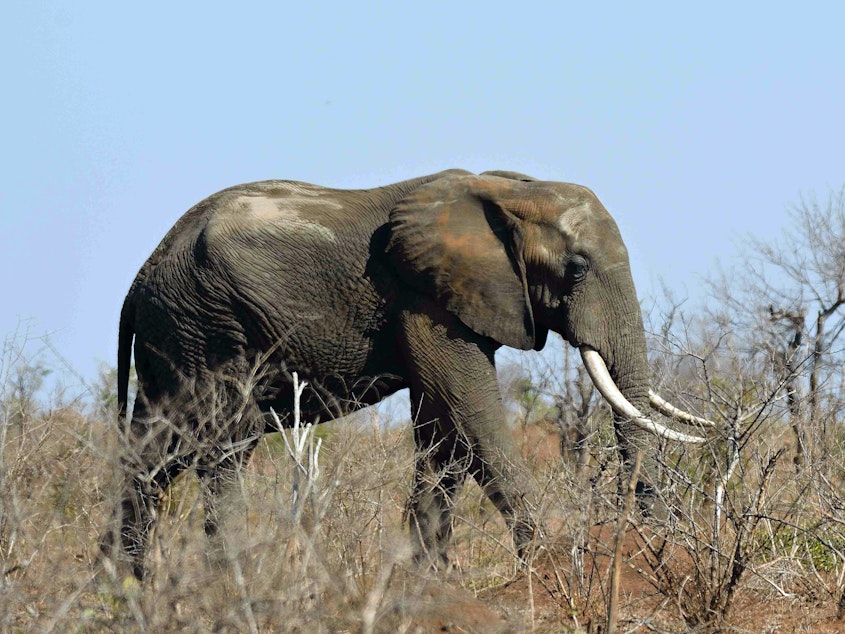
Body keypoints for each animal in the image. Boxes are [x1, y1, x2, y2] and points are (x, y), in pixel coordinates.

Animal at [107, 167, 712, 576]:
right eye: (578, 268)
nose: (646, 547)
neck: (507, 190)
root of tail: (140, 276)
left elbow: (443, 431)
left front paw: (427, 582)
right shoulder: (424, 297)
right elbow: (472, 413)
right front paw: (553, 565)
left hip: (177, 335)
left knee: (158, 449)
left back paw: (128, 587)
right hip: (206, 326)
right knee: (226, 442)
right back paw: (231, 583)